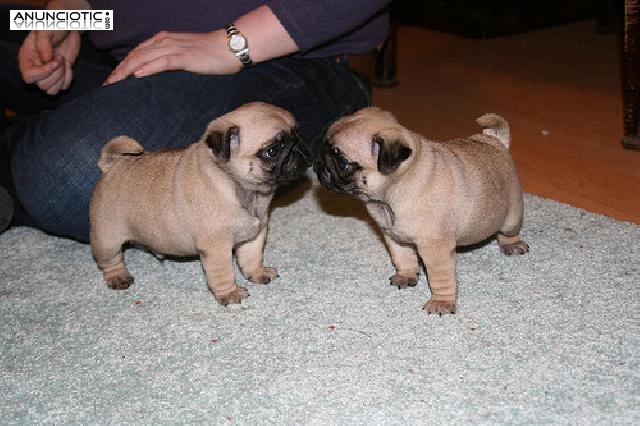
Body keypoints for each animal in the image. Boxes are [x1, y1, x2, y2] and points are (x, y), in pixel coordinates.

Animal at [89, 101, 310, 304]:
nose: (301, 147)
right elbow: (223, 273)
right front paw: (229, 293)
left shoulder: (254, 235)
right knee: (110, 261)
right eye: (272, 151)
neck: (241, 188)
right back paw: (118, 277)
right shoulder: (216, 247)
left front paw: (257, 273)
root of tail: (112, 166)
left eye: (298, 132)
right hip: (107, 239)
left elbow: (251, 257)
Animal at [316, 106, 528, 312]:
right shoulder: (395, 238)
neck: (394, 190)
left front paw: (441, 302)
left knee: (508, 231)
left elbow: (440, 278)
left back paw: (512, 245)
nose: (318, 164)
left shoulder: (435, 249)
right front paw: (406, 276)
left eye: (343, 163)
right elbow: (403, 259)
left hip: (511, 216)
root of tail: (494, 140)